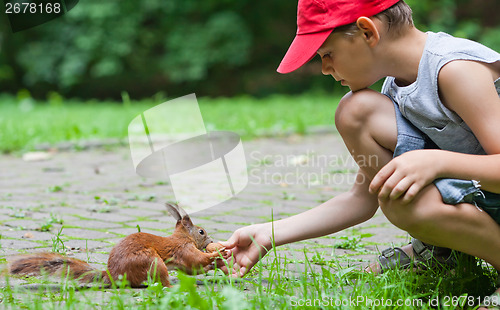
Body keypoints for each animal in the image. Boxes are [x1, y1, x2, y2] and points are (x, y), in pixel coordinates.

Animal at [7, 203, 227, 288]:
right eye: (201, 232)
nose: (211, 242)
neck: (182, 237)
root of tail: (114, 275)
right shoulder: (183, 249)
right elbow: (195, 261)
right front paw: (218, 253)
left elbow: (192, 268)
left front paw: (215, 262)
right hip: (153, 262)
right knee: (161, 281)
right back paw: (173, 286)